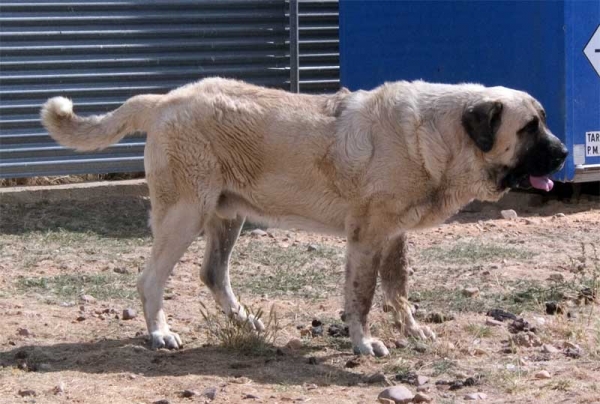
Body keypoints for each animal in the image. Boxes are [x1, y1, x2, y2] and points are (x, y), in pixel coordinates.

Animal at [42, 79, 568, 356]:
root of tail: (167, 99)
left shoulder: (393, 237)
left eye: (542, 121)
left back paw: (246, 320)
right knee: (151, 278)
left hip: (226, 218)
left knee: (213, 274)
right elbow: (362, 296)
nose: (565, 154)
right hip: (184, 216)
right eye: (529, 127)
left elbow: (398, 291)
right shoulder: (367, 237)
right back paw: (159, 332)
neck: (442, 135)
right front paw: (364, 342)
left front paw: (412, 331)